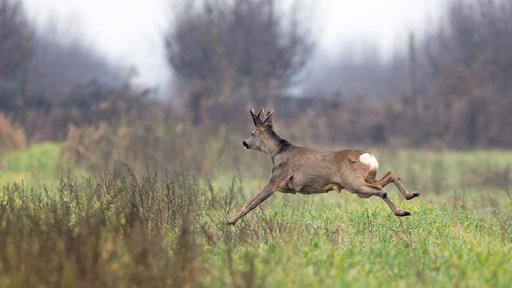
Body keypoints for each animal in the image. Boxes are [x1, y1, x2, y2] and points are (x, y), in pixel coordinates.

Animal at [227, 107, 420, 225]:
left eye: (252, 133)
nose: (244, 142)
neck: (278, 152)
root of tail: (369, 157)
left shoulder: (276, 178)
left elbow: (252, 203)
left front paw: (229, 221)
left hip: (353, 183)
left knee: (381, 189)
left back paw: (401, 211)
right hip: (366, 179)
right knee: (389, 175)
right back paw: (410, 196)